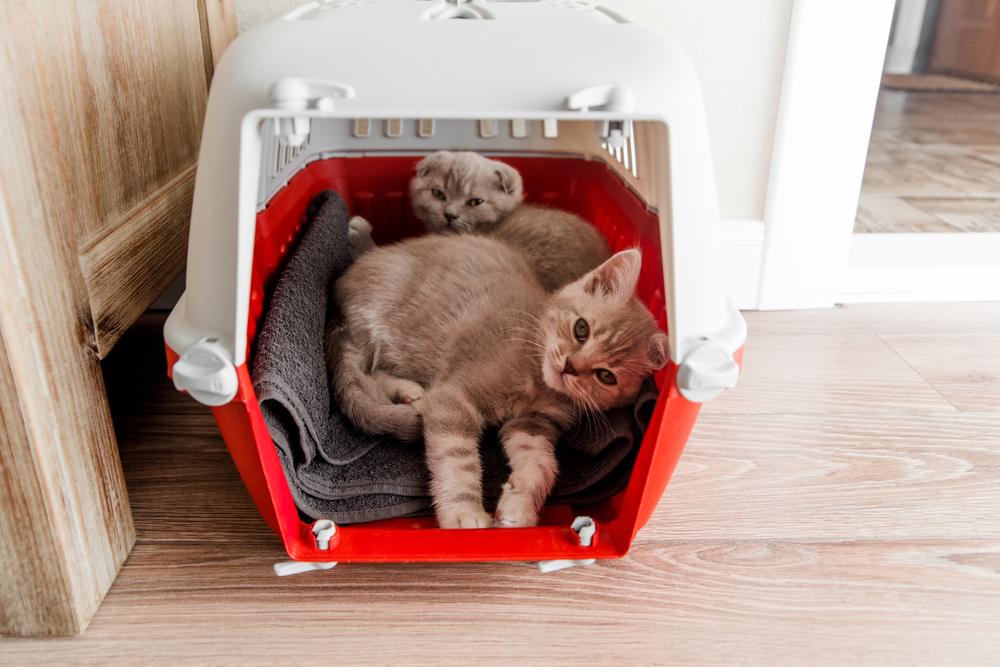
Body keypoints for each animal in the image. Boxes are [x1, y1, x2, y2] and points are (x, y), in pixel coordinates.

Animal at [330, 237, 672, 528]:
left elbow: (541, 463)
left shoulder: (533, 424)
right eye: (581, 329)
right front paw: (463, 513)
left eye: (606, 376)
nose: (570, 367)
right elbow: (456, 457)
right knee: (365, 373)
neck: (539, 383)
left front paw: (520, 505)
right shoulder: (455, 397)